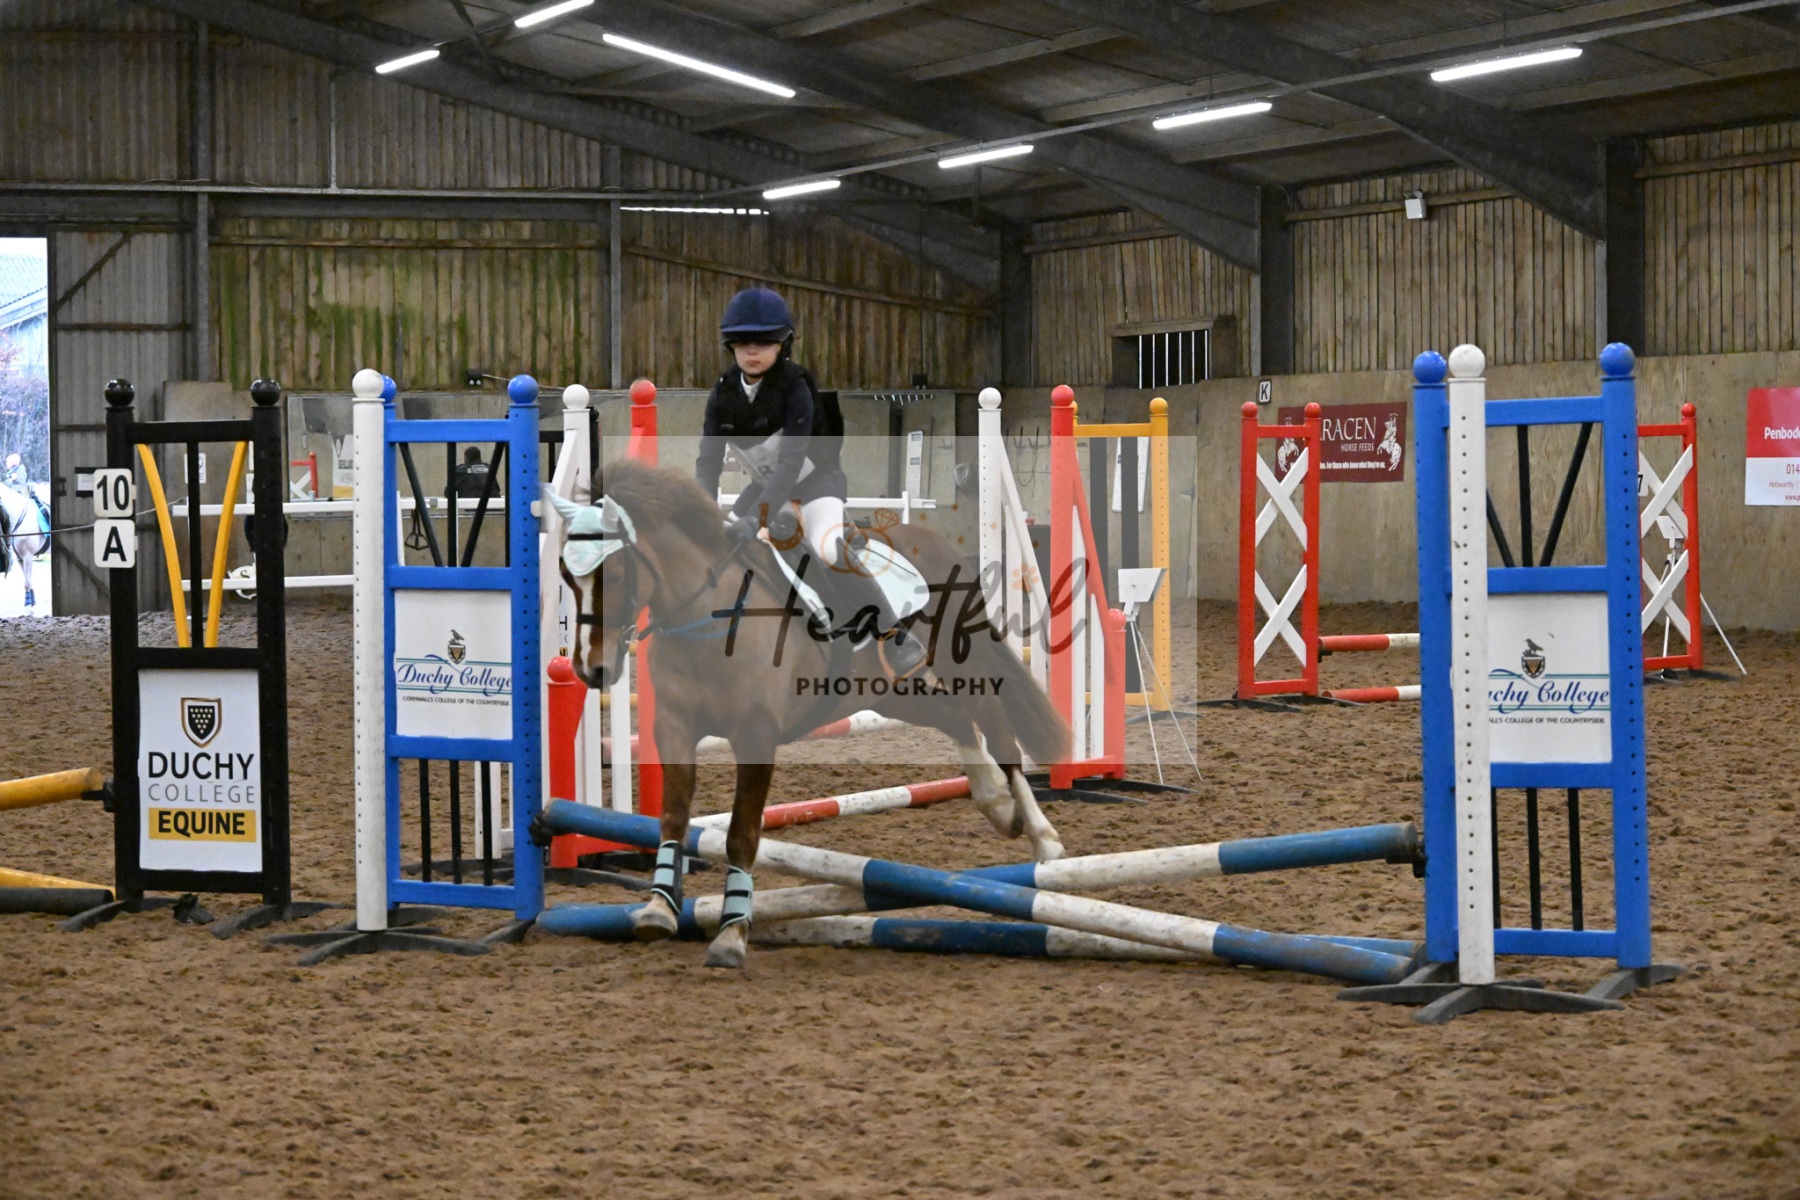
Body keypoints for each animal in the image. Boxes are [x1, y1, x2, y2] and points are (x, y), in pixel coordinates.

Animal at [548, 459, 1072, 969]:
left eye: (615, 575)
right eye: (567, 577)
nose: (592, 669)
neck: (708, 618)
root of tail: (935, 542)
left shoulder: (756, 735)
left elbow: (742, 833)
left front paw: (732, 934)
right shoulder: (674, 728)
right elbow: (673, 816)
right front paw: (658, 907)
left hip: (962, 663)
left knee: (999, 733)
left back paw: (1043, 838)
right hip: (889, 692)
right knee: (958, 719)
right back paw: (997, 805)